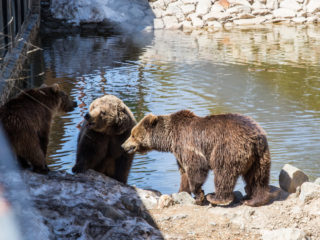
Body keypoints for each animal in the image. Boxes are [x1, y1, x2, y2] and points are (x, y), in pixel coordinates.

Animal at [121, 110, 278, 206]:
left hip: (228, 149)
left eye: (133, 134)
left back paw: (216, 198)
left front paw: (199, 195)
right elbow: (184, 173)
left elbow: (196, 168)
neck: (170, 139)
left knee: (224, 173)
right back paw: (254, 199)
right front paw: (181, 191)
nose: (123, 145)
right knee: (257, 177)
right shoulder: (179, 152)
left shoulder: (187, 144)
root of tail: (255, 138)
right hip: (260, 155)